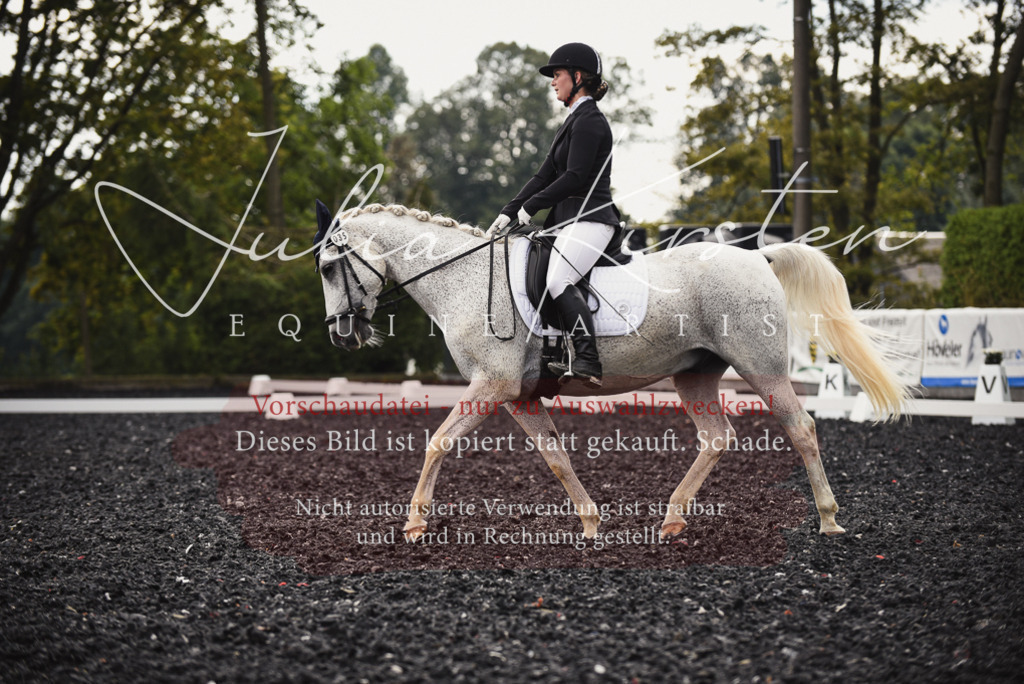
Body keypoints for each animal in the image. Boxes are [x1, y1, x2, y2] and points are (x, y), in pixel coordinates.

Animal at [313, 201, 909, 542]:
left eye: (326, 267)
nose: (340, 335)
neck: (464, 278)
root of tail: (756, 257)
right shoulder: (519, 395)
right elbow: (555, 458)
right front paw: (591, 523)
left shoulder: (492, 385)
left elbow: (437, 441)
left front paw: (415, 524)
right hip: (695, 374)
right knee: (717, 436)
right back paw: (672, 520)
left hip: (761, 368)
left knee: (801, 429)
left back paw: (829, 518)